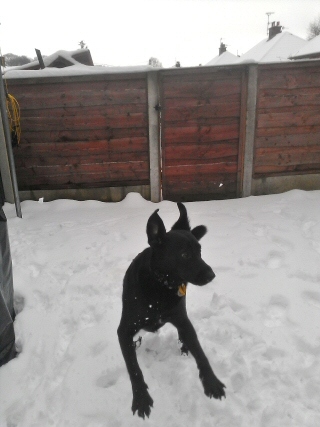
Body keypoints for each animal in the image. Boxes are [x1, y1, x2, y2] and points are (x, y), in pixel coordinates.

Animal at [117, 203, 225, 418]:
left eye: (200, 250)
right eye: (184, 254)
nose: (212, 275)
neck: (160, 284)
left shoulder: (181, 319)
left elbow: (200, 352)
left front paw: (211, 381)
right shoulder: (124, 331)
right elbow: (133, 367)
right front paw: (141, 398)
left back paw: (184, 347)